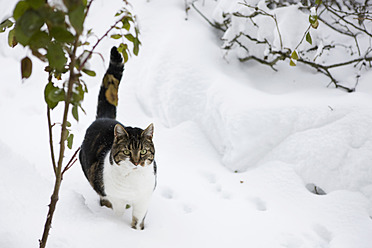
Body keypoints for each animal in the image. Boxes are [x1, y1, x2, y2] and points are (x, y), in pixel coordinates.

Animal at [80, 47, 157, 231]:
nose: (137, 162)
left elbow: (138, 221)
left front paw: (136, 232)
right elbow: (118, 215)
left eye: (143, 151)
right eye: (127, 151)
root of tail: (104, 119)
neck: (133, 181)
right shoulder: (117, 199)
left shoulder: (143, 200)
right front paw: (118, 228)